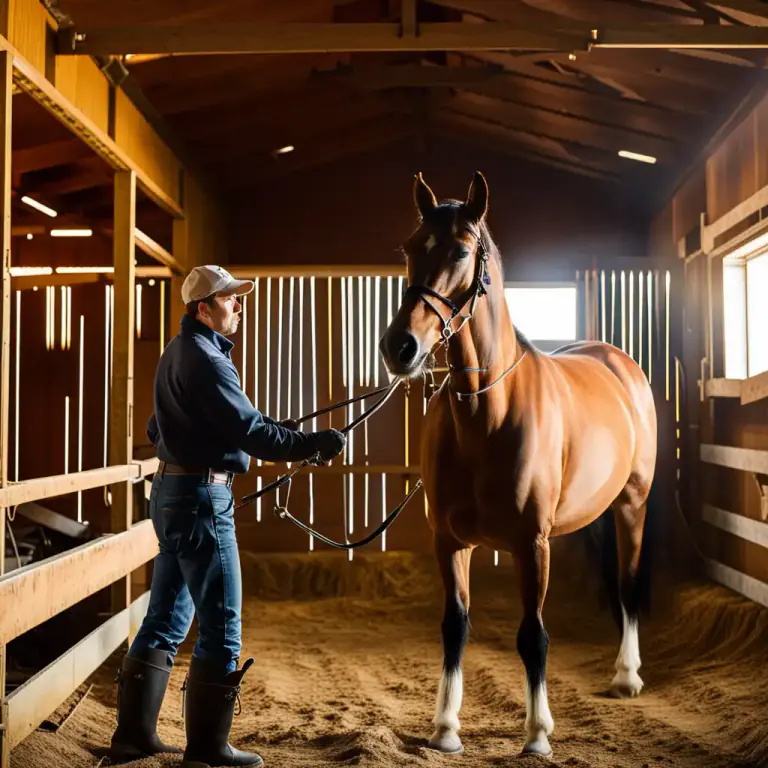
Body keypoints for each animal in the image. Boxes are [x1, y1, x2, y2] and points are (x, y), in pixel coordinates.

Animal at [378, 171, 657, 759]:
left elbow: (533, 634)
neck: (488, 411)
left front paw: (537, 734)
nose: (400, 348)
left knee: (627, 584)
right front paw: (445, 728)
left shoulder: (532, 545)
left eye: (462, 250)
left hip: (632, 504)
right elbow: (454, 625)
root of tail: (616, 360)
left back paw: (626, 676)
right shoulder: (450, 542)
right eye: (411, 248)